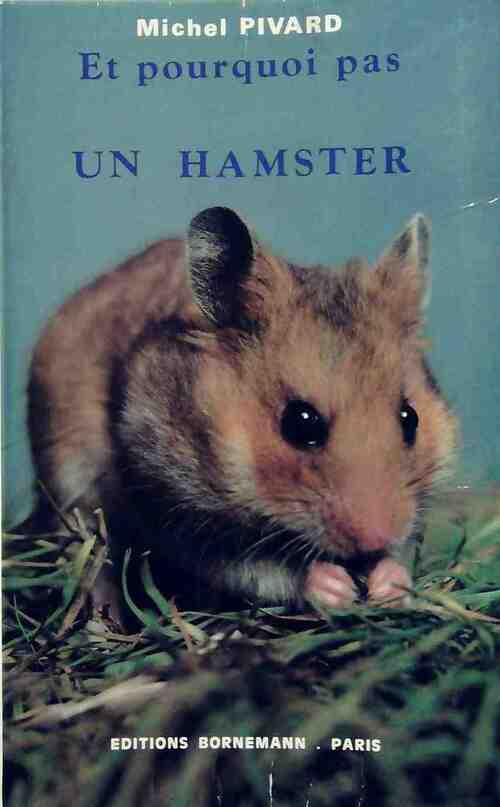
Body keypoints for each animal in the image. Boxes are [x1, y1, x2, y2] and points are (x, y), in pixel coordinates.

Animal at [27, 207, 458, 613]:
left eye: (410, 419)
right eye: (300, 423)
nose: (378, 535)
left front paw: (389, 583)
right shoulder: (176, 512)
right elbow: (257, 567)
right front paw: (335, 587)